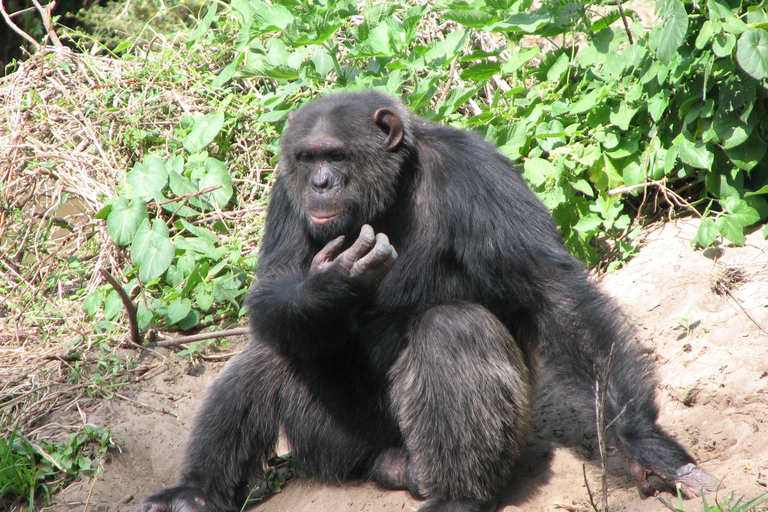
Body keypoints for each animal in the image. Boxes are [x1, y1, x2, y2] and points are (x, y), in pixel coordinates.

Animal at [140, 90, 720, 512]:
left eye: (336, 155)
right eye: (306, 158)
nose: (320, 182)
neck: (392, 189)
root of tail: (387, 462)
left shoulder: (478, 173)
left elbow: (553, 294)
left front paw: (648, 445)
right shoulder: (286, 191)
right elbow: (271, 286)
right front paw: (332, 283)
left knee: (453, 327)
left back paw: (456, 497)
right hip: (331, 443)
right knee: (272, 347)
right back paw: (193, 493)